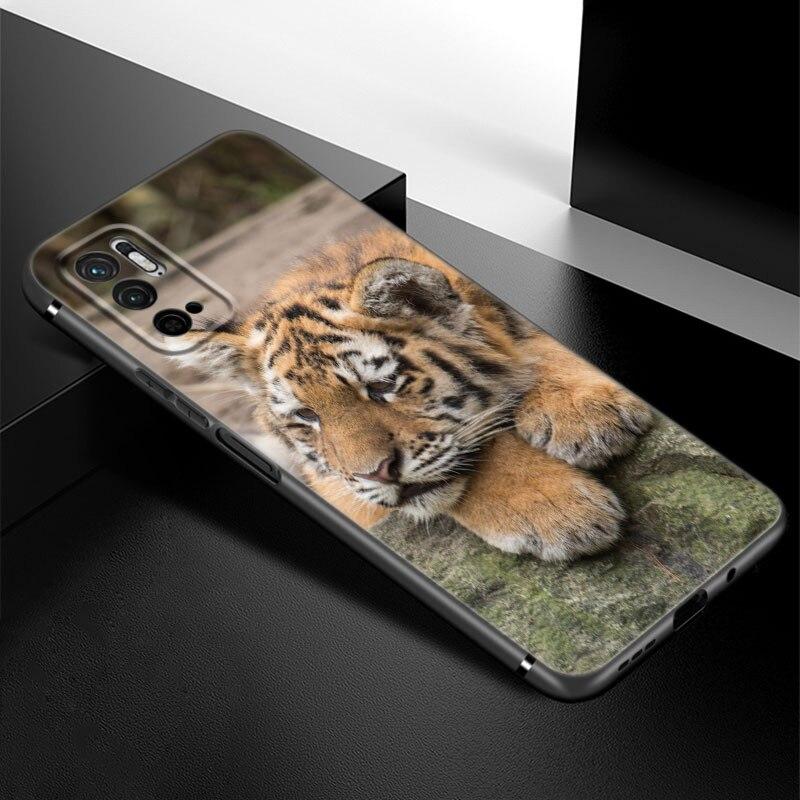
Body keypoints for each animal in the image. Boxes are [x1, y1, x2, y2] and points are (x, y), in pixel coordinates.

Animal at [175, 227, 652, 561]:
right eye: (307, 417)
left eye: (382, 387)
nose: (378, 474)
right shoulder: (345, 494)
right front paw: (558, 511)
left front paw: (585, 414)